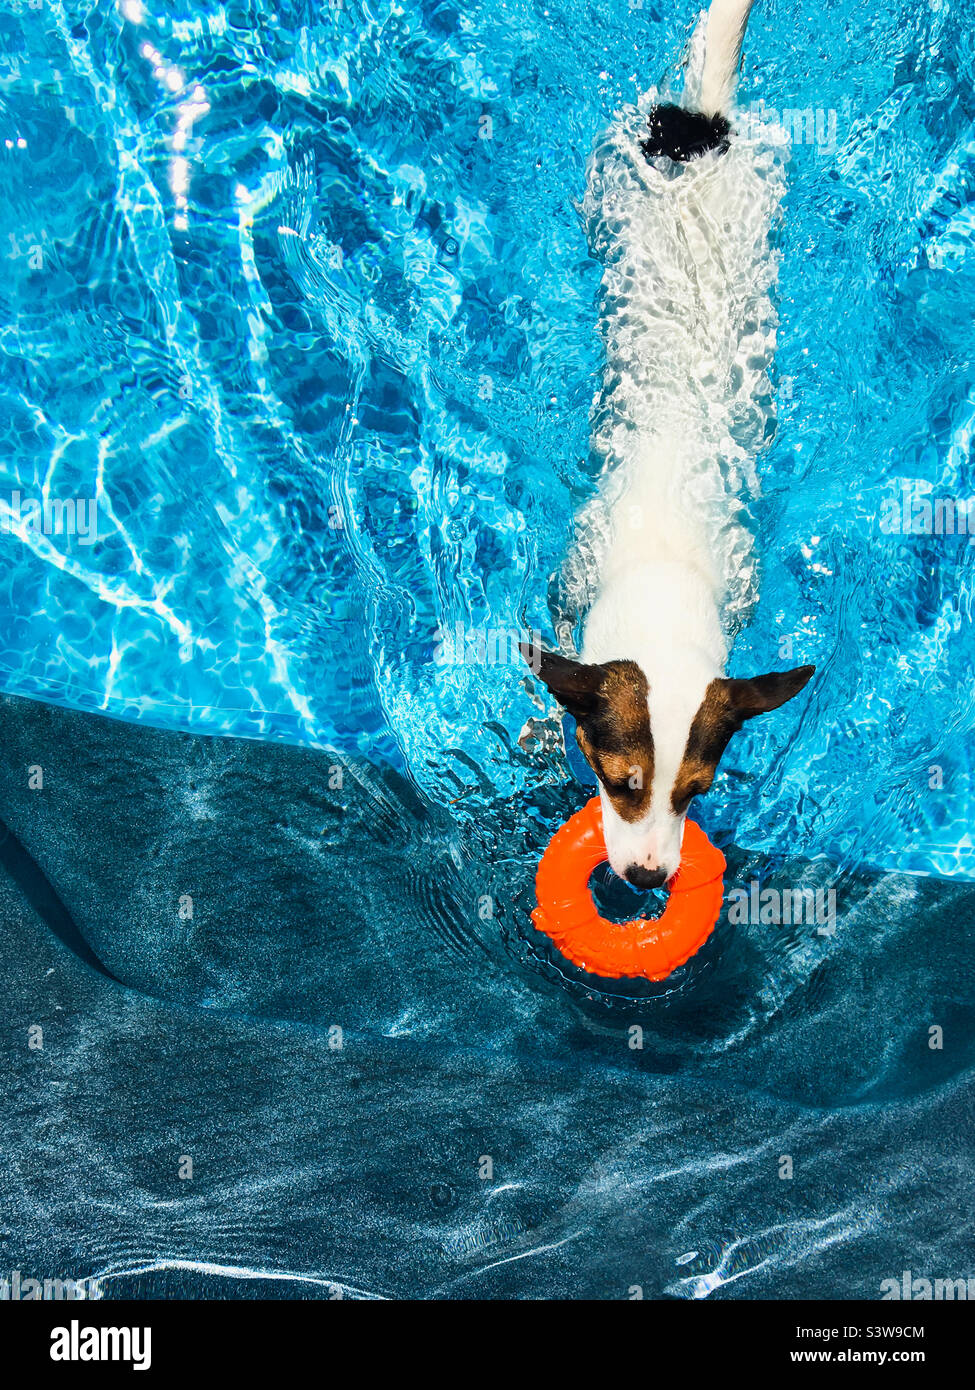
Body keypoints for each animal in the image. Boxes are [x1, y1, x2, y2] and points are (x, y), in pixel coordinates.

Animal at [528, 0, 812, 884]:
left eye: (698, 791)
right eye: (619, 781)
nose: (650, 878)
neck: (662, 572)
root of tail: (702, 125)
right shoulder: (569, 581)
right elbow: (555, 659)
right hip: (611, 175)